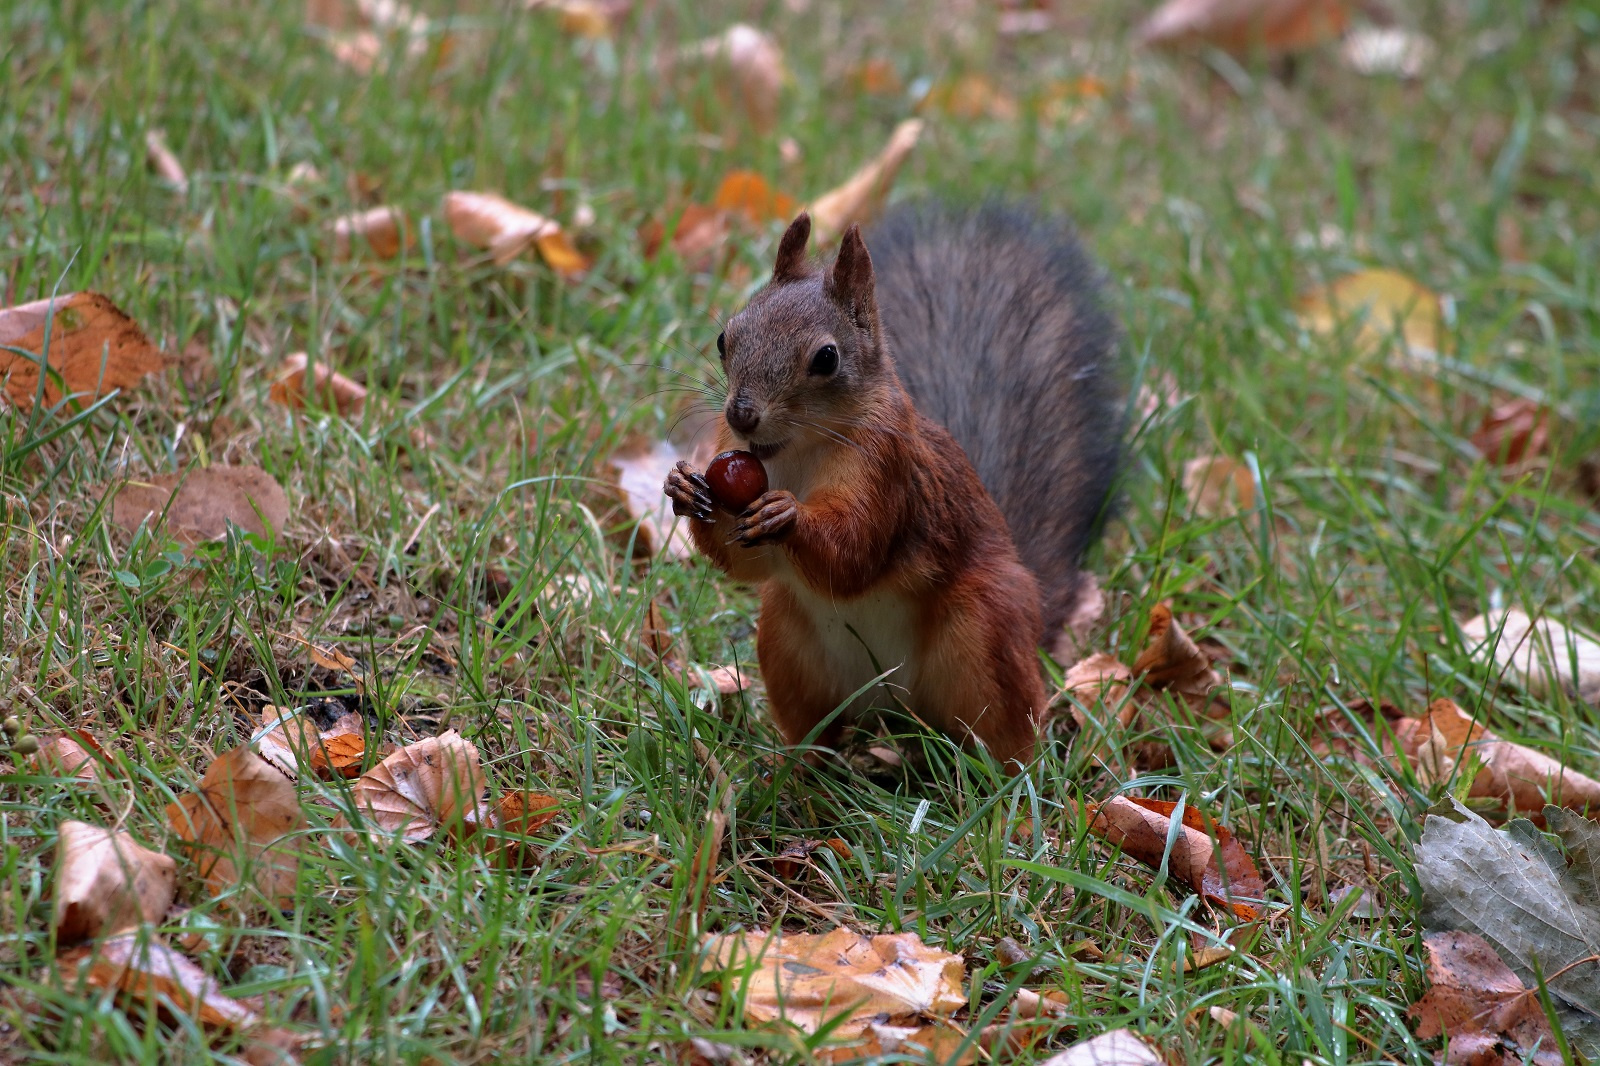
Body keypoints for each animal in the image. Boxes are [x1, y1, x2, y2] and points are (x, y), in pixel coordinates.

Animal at [662, 202, 1123, 771]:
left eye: (826, 358)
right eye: (726, 338)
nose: (741, 415)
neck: (797, 452)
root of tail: (893, 703)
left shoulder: (886, 468)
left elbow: (854, 553)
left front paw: (786, 516)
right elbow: (746, 563)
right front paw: (685, 488)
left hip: (984, 635)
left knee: (1006, 732)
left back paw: (1010, 778)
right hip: (789, 643)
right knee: (817, 727)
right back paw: (796, 767)